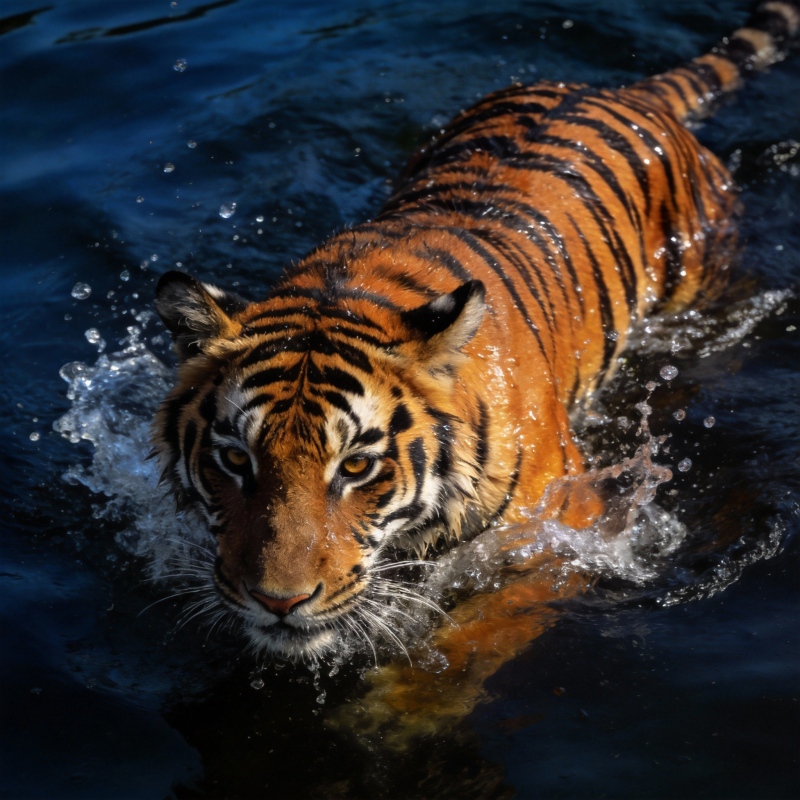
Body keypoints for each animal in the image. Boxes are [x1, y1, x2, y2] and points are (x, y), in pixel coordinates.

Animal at [153, 0, 799, 666]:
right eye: (235, 459)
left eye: (356, 467)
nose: (278, 601)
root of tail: (619, 90)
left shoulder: (558, 536)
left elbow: (470, 640)